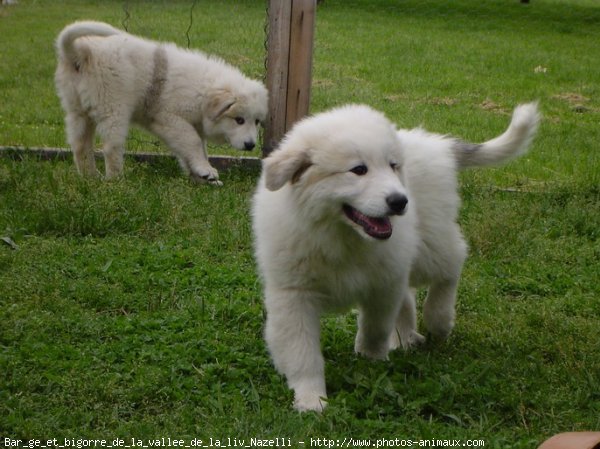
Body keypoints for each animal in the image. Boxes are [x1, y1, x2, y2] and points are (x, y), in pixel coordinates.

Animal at [54, 21, 268, 183]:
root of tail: (80, 52)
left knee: (80, 146)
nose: (251, 145)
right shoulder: (169, 118)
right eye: (239, 120)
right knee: (110, 147)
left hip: (78, 111)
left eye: (257, 121)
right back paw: (116, 180)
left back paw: (89, 177)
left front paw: (200, 176)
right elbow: (193, 142)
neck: (203, 92)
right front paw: (205, 170)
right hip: (114, 108)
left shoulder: (183, 125)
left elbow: (194, 148)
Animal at [251, 101, 540, 410]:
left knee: (452, 263)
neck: (342, 236)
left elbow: (375, 328)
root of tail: (433, 143)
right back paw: (407, 337)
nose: (400, 201)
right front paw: (311, 399)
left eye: (393, 166)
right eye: (358, 170)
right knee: (411, 293)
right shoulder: (294, 295)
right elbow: (302, 352)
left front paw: (371, 360)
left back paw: (439, 320)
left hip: (429, 242)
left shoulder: (383, 284)